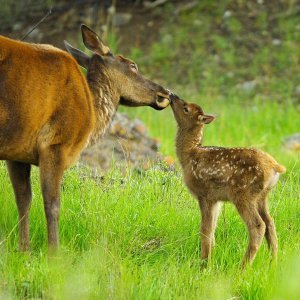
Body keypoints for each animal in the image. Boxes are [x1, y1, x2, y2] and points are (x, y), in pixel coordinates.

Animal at [0, 24, 169, 252]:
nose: (165, 92)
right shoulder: (56, 143)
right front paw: (54, 252)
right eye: (133, 65)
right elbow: (52, 204)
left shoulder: (17, 152)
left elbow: (23, 200)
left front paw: (23, 250)